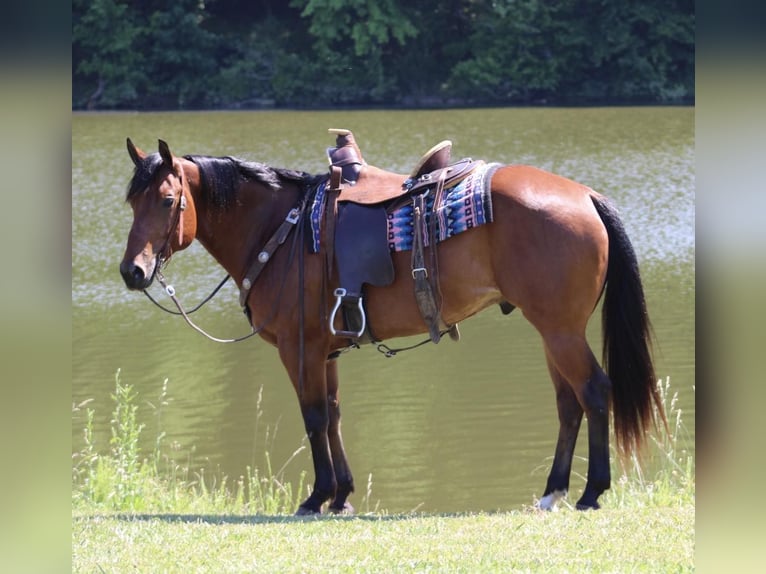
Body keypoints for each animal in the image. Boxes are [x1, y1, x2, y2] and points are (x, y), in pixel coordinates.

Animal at [119, 136, 665, 514]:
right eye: (131, 203)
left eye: (166, 200)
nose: (132, 272)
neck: (280, 228)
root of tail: (585, 194)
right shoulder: (325, 351)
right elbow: (333, 416)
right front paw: (341, 495)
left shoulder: (299, 348)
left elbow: (313, 418)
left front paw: (316, 497)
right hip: (554, 332)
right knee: (569, 403)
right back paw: (553, 491)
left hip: (561, 331)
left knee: (594, 392)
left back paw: (591, 492)